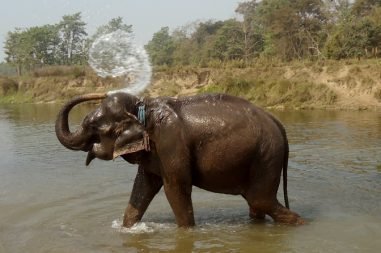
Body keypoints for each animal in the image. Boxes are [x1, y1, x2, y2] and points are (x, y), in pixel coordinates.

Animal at [55, 91, 302, 227]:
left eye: (94, 128)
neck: (143, 106)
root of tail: (278, 123)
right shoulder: (154, 151)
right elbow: (143, 187)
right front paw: (127, 228)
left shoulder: (170, 141)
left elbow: (175, 188)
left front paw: (187, 232)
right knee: (257, 204)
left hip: (267, 154)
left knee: (260, 200)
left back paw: (301, 224)